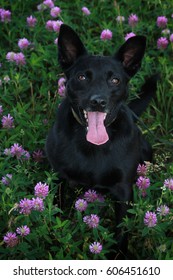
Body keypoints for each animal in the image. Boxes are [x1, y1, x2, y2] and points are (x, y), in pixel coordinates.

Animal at [45, 25, 157, 260]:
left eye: (115, 80)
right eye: (81, 77)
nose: (98, 101)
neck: (92, 146)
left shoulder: (123, 189)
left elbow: (122, 230)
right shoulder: (59, 177)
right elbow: (55, 213)